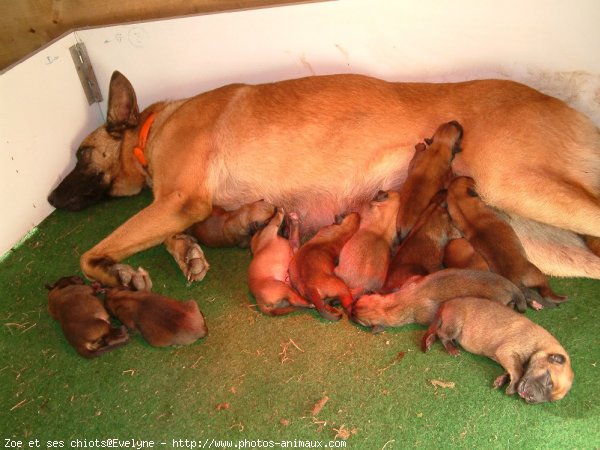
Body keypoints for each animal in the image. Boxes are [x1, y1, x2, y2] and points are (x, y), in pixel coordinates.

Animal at [45, 71, 600, 288]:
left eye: (80, 155)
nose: (49, 199)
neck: (151, 128)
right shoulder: (185, 207)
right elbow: (171, 237)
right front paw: (186, 254)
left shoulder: (181, 200)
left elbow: (90, 254)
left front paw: (116, 274)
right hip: (522, 227)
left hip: (520, 186)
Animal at [352, 268, 524, 334]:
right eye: (358, 301)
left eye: (360, 321)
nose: (349, 311)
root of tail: (510, 285)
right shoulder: (411, 281)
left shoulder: (424, 314)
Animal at [446, 176, 568, 310]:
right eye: (468, 179)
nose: (472, 177)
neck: (464, 211)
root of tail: (517, 283)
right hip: (537, 274)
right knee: (546, 291)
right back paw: (559, 298)